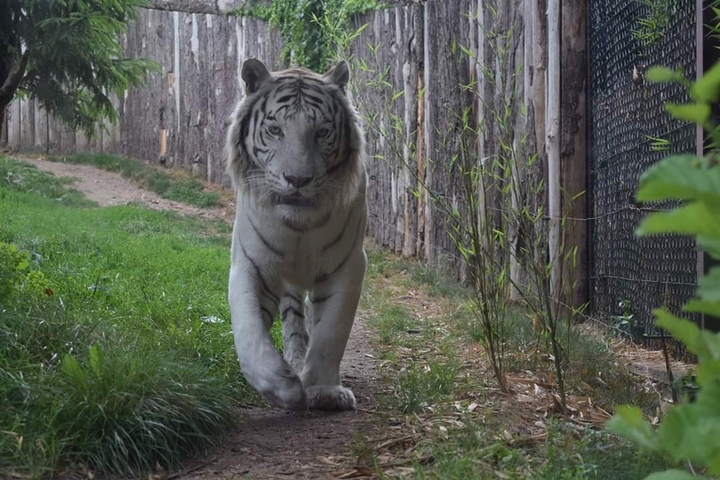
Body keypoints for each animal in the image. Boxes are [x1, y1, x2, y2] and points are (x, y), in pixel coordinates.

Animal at [224, 58, 368, 412]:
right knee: (292, 317)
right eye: (275, 130)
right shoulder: (250, 264)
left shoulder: (348, 266)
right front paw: (281, 385)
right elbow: (249, 331)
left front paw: (324, 391)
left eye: (322, 132)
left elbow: (331, 332)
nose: (298, 180)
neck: (300, 227)